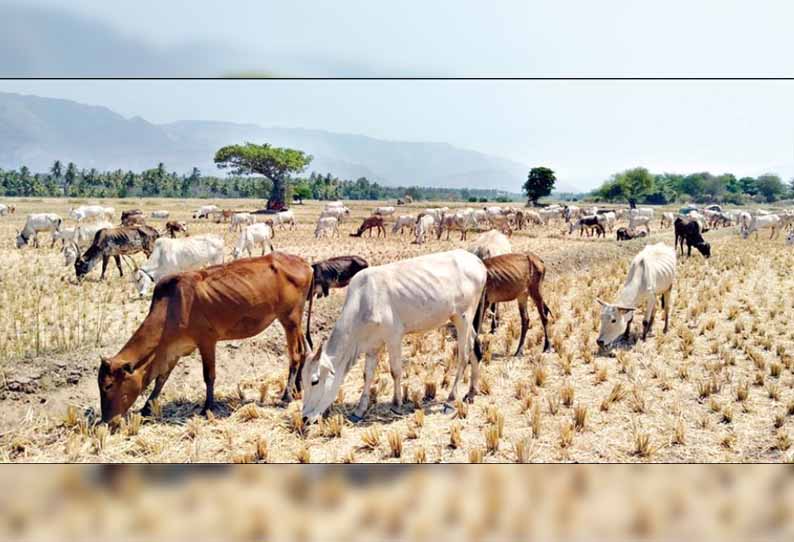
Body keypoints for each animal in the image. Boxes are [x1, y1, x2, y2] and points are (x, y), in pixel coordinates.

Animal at [96, 253, 312, 422]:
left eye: (108, 385)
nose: (106, 420)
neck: (171, 307)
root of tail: (305, 263)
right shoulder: (174, 350)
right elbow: (161, 379)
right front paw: (146, 407)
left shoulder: (206, 341)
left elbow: (209, 376)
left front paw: (207, 407)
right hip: (296, 321)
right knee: (305, 352)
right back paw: (298, 389)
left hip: (290, 319)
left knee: (295, 355)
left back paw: (287, 395)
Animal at [300, 251, 486, 424]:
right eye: (302, 381)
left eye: (315, 381)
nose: (304, 418)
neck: (363, 302)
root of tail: (477, 261)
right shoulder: (372, 345)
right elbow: (367, 375)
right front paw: (359, 410)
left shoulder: (394, 338)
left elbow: (395, 371)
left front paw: (396, 404)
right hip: (462, 320)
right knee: (475, 347)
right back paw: (471, 392)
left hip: (463, 317)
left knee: (463, 356)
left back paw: (450, 400)